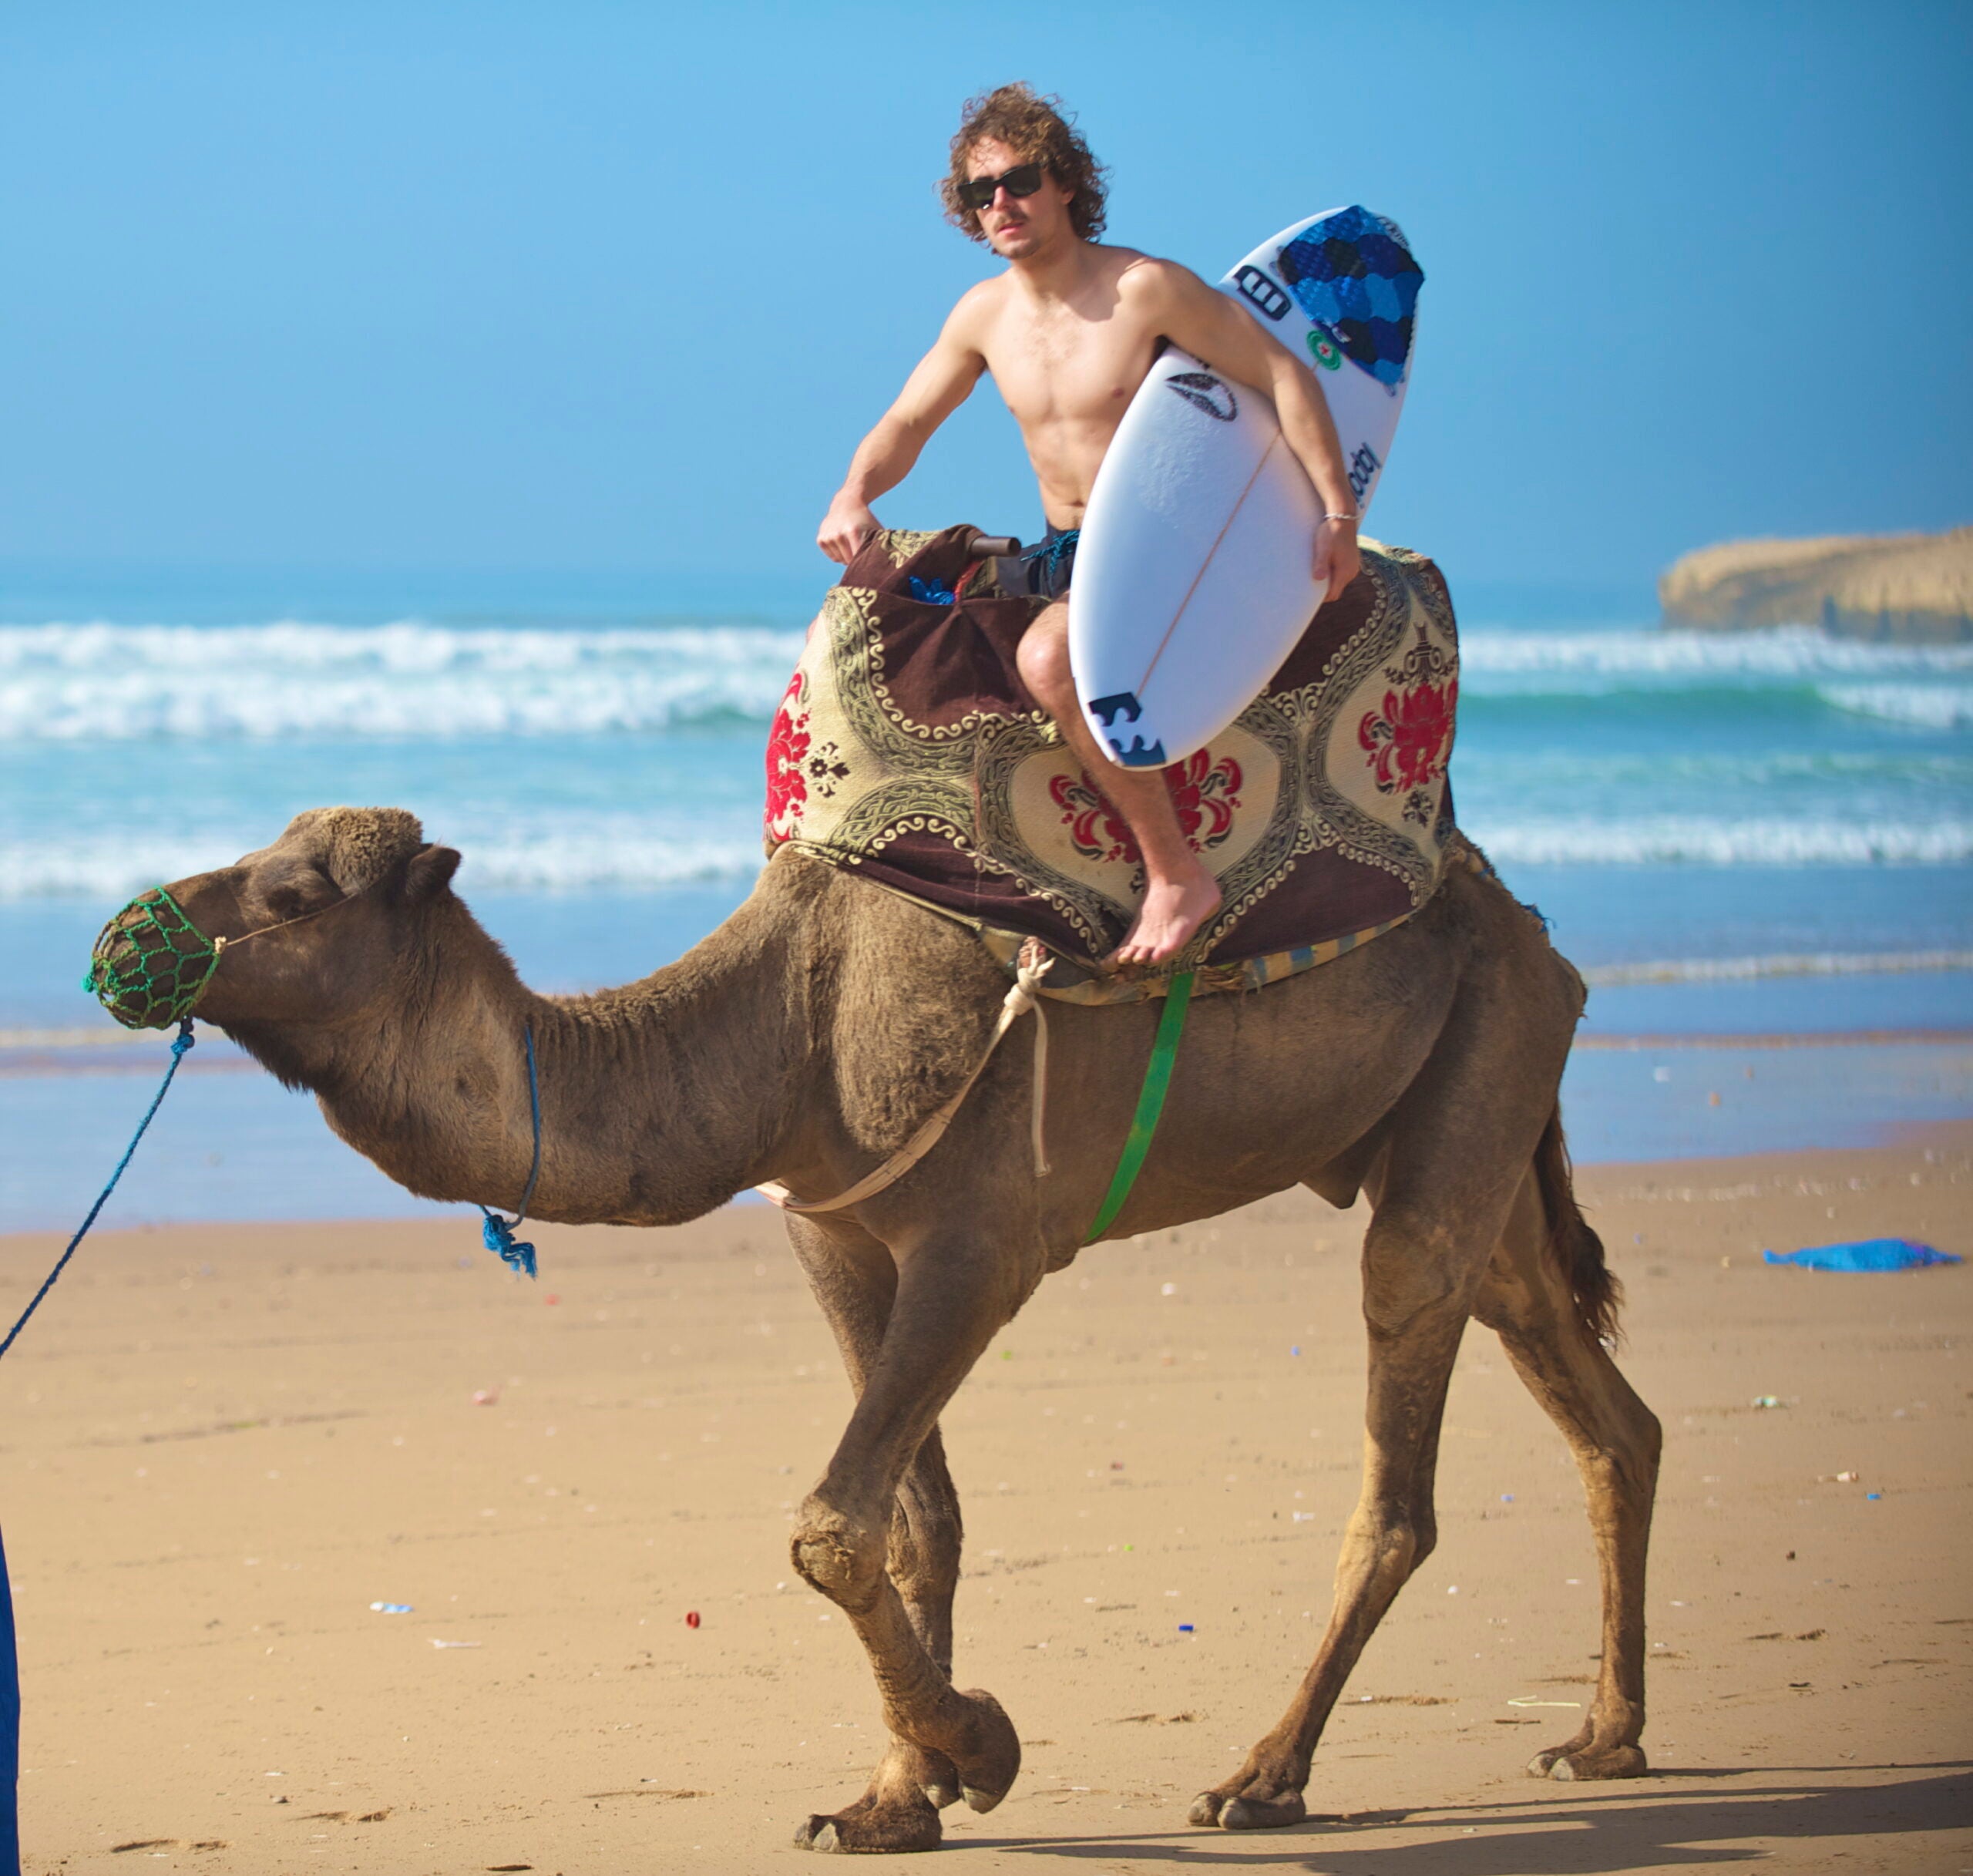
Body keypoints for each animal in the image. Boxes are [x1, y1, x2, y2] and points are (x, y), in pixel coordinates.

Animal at [115, 805, 1665, 1846]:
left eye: (296, 887)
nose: (126, 932)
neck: (788, 1030)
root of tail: (1531, 928)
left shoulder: (984, 1242)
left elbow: (830, 1522)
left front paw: (983, 1748)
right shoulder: (835, 1235)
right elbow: (914, 1518)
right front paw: (891, 1796)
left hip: (1478, 1066)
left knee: (1403, 1416)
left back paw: (1262, 1776)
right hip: (1472, 1113)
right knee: (1601, 1399)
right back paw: (1602, 1738)